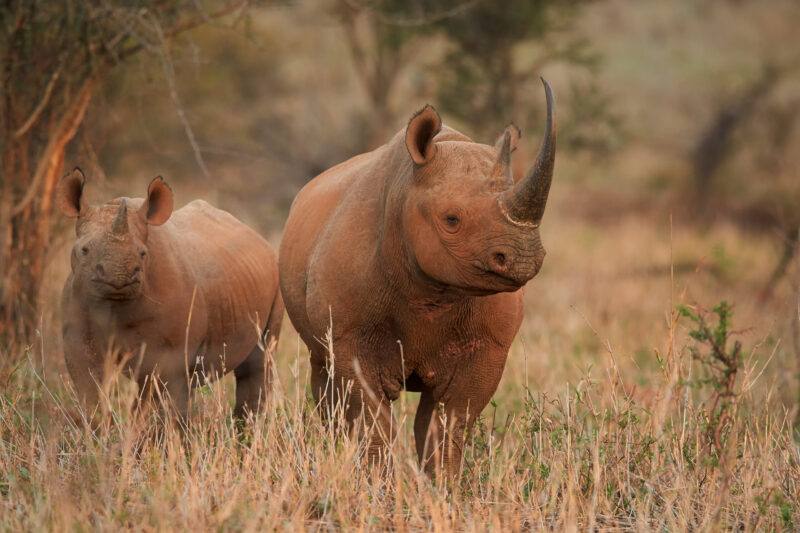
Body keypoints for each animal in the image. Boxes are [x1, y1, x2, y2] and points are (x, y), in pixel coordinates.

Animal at [57, 169, 283, 419]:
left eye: (143, 254)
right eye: (84, 250)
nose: (119, 277)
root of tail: (258, 237)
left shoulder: (167, 349)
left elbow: (152, 396)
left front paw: (141, 430)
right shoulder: (77, 329)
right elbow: (90, 388)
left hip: (275, 275)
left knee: (260, 359)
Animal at [279, 79, 557, 475]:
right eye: (451, 220)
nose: (524, 258)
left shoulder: (488, 347)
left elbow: (446, 426)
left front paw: (445, 486)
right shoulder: (349, 338)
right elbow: (372, 421)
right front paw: (378, 483)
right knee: (324, 380)